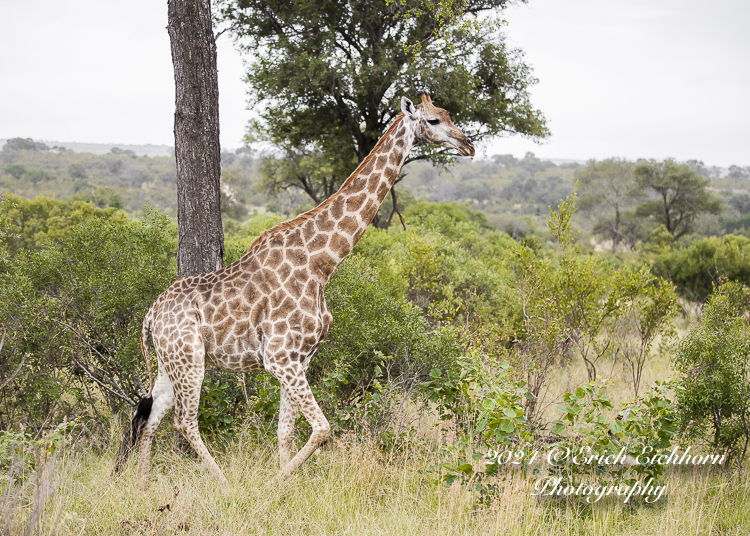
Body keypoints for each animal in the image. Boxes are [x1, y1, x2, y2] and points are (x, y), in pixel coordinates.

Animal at [122, 92, 476, 486]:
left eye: (448, 113)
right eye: (433, 121)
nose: (469, 145)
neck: (322, 263)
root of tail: (150, 314)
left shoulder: (300, 358)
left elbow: (285, 431)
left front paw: (285, 485)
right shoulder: (280, 357)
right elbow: (321, 428)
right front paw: (272, 486)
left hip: (170, 363)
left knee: (150, 417)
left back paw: (142, 486)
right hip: (190, 361)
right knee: (183, 422)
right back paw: (225, 486)